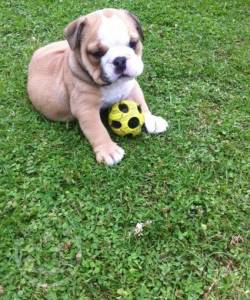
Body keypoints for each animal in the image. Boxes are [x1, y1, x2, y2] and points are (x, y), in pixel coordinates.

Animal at [27, 8, 168, 165]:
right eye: (97, 53)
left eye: (133, 43)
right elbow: (97, 129)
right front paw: (109, 150)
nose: (120, 60)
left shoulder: (132, 86)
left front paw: (152, 119)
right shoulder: (86, 109)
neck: (114, 84)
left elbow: (141, 103)